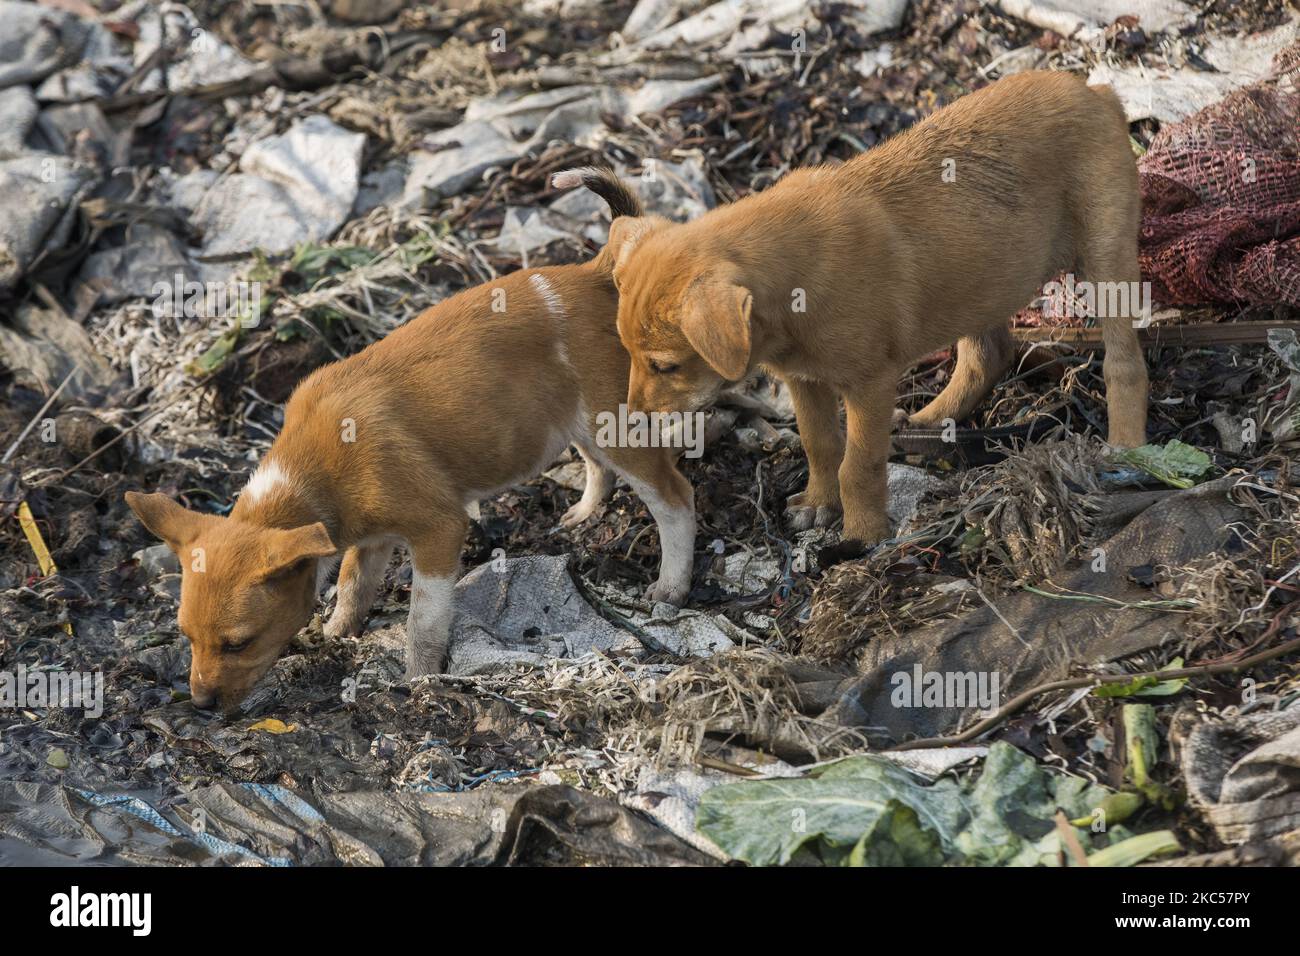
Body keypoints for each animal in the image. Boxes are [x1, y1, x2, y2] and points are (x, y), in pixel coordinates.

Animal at [126, 167, 696, 712]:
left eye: (238, 643)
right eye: (186, 636)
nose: (201, 705)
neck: (315, 471)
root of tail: (595, 271)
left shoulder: (439, 529)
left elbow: (422, 620)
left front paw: (418, 678)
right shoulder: (369, 537)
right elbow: (352, 586)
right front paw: (338, 632)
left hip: (615, 425)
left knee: (676, 499)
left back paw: (671, 586)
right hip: (577, 422)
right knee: (598, 467)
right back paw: (582, 513)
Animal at [608, 72, 1149, 554]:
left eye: (665, 365)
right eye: (627, 353)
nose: (632, 422)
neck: (795, 283)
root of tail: (1094, 90)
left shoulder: (869, 382)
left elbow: (859, 464)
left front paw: (864, 534)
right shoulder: (805, 379)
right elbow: (820, 445)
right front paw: (818, 504)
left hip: (1105, 258)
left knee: (1124, 361)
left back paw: (1125, 445)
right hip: (984, 279)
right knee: (989, 355)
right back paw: (930, 421)